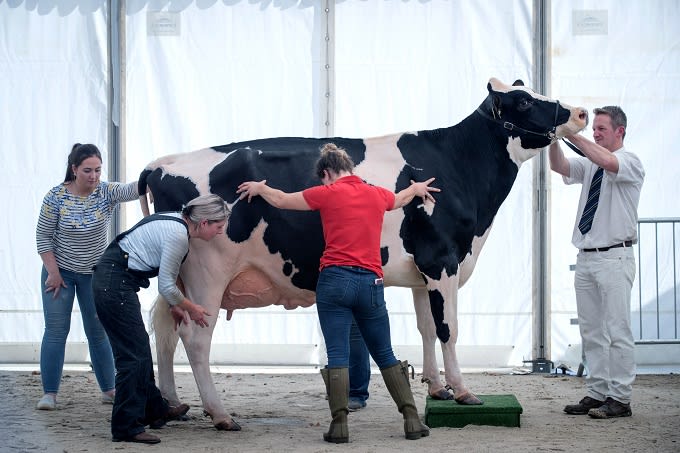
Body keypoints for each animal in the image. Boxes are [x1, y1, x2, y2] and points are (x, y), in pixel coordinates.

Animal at [141, 78, 588, 430]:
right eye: (525, 101)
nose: (581, 112)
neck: (457, 165)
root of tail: (162, 163)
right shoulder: (443, 260)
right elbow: (449, 329)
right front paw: (462, 391)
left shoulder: (423, 273)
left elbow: (427, 327)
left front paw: (437, 388)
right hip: (208, 272)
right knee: (195, 337)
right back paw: (220, 414)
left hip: (179, 274)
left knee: (164, 329)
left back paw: (174, 405)